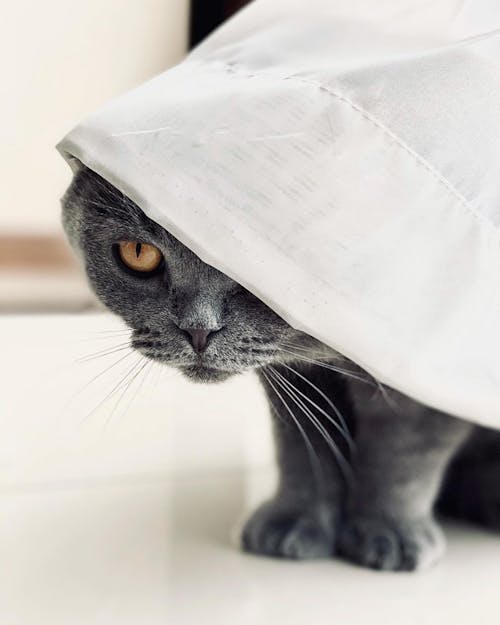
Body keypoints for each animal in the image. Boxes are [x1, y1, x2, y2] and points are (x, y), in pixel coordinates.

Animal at [61, 165, 500, 572]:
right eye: (139, 253)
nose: (198, 329)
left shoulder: (426, 365)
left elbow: (401, 454)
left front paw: (387, 534)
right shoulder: (299, 381)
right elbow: (303, 449)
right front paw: (294, 522)